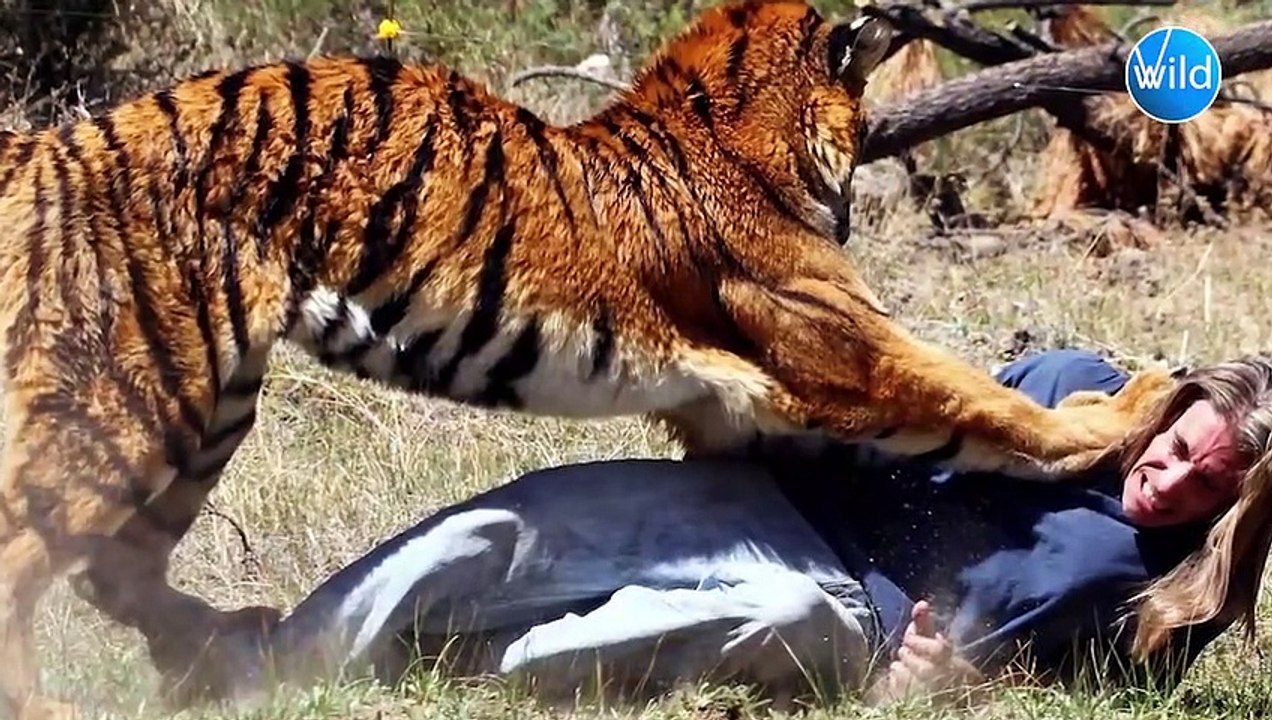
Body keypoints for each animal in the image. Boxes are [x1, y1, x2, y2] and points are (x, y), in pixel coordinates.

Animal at [0, 1, 1178, 717]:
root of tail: (50, 144)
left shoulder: (735, 406)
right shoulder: (841, 348)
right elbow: (989, 404)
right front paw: (1133, 407)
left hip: (206, 408)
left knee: (115, 565)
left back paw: (213, 644)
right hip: (130, 399)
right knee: (32, 554)